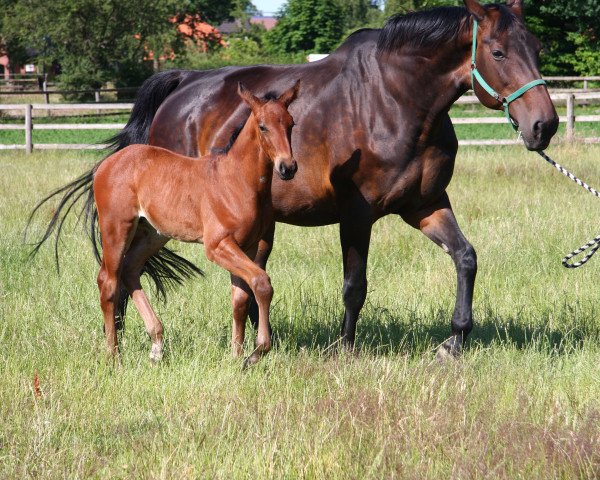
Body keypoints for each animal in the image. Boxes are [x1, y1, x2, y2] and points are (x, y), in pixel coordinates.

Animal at [94, 82, 298, 366]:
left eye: (291, 123)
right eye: (263, 126)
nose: (288, 167)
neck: (236, 180)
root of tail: (106, 165)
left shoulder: (246, 246)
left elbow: (240, 300)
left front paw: (236, 355)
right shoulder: (217, 245)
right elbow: (261, 283)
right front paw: (257, 352)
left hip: (153, 234)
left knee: (130, 269)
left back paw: (156, 344)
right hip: (117, 227)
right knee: (108, 281)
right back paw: (114, 356)